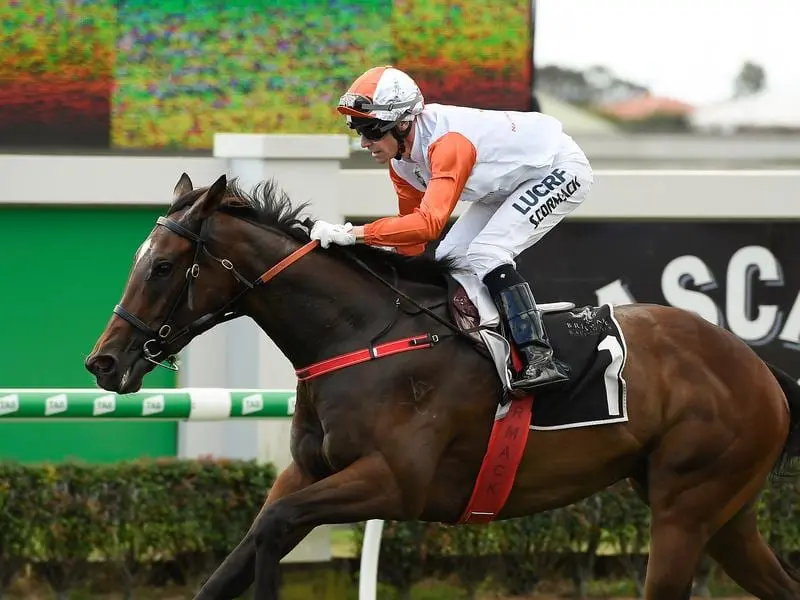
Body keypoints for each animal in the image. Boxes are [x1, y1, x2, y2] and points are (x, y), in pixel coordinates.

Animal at [84, 171, 800, 596]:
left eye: (163, 266)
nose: (104, 363)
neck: (361, 336)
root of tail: (757, 366)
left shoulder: (396, 483)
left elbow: (275, 529)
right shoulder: (307, 473)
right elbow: (243, 551)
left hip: (687, 504)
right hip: (724, 513)